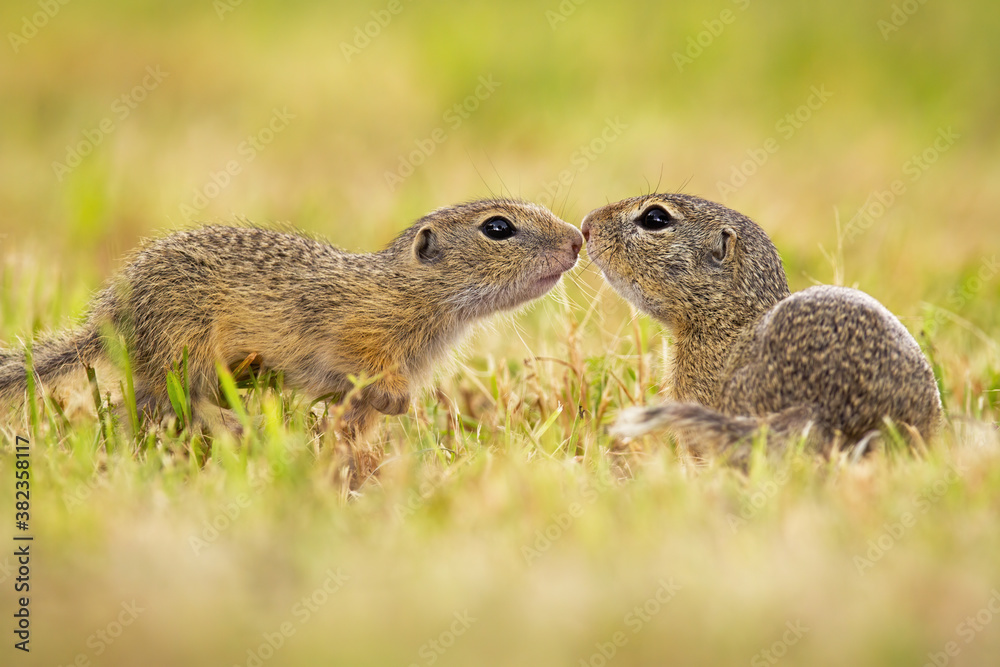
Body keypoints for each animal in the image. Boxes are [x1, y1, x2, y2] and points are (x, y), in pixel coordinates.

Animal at [0, 198, 583, 440]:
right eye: (498, 228)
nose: (578, 240)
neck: (411, 291)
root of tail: (110, 313)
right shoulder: (360, 331)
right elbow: (362, 361)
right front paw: (394, 401)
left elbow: (357, 424)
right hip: (185, 350)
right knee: (166, 402)